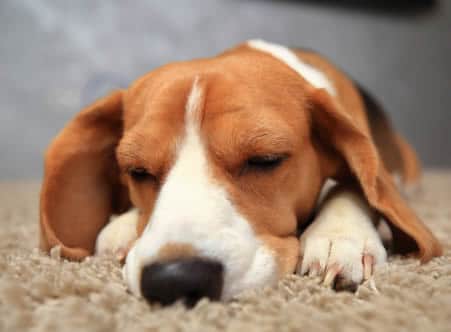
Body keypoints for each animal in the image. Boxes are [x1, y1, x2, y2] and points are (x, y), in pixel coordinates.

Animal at [38, 39, 442, 306]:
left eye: (265, 160)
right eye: (137, 170)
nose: (174, 281)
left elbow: (355, 184)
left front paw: (340, 237)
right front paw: (123, 227)